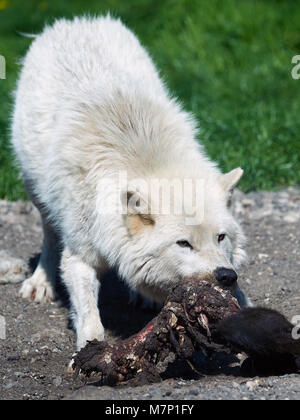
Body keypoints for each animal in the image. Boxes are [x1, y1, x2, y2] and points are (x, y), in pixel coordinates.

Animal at [11, 15, 250, 352]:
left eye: (221, 237)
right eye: (183, 244)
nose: (226, 276)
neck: (147, 162)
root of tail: (76, 21)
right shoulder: (79, 257)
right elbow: (87, 312)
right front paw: (89, 349)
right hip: (37, 192)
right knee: (49, 233)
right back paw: (40, 281)